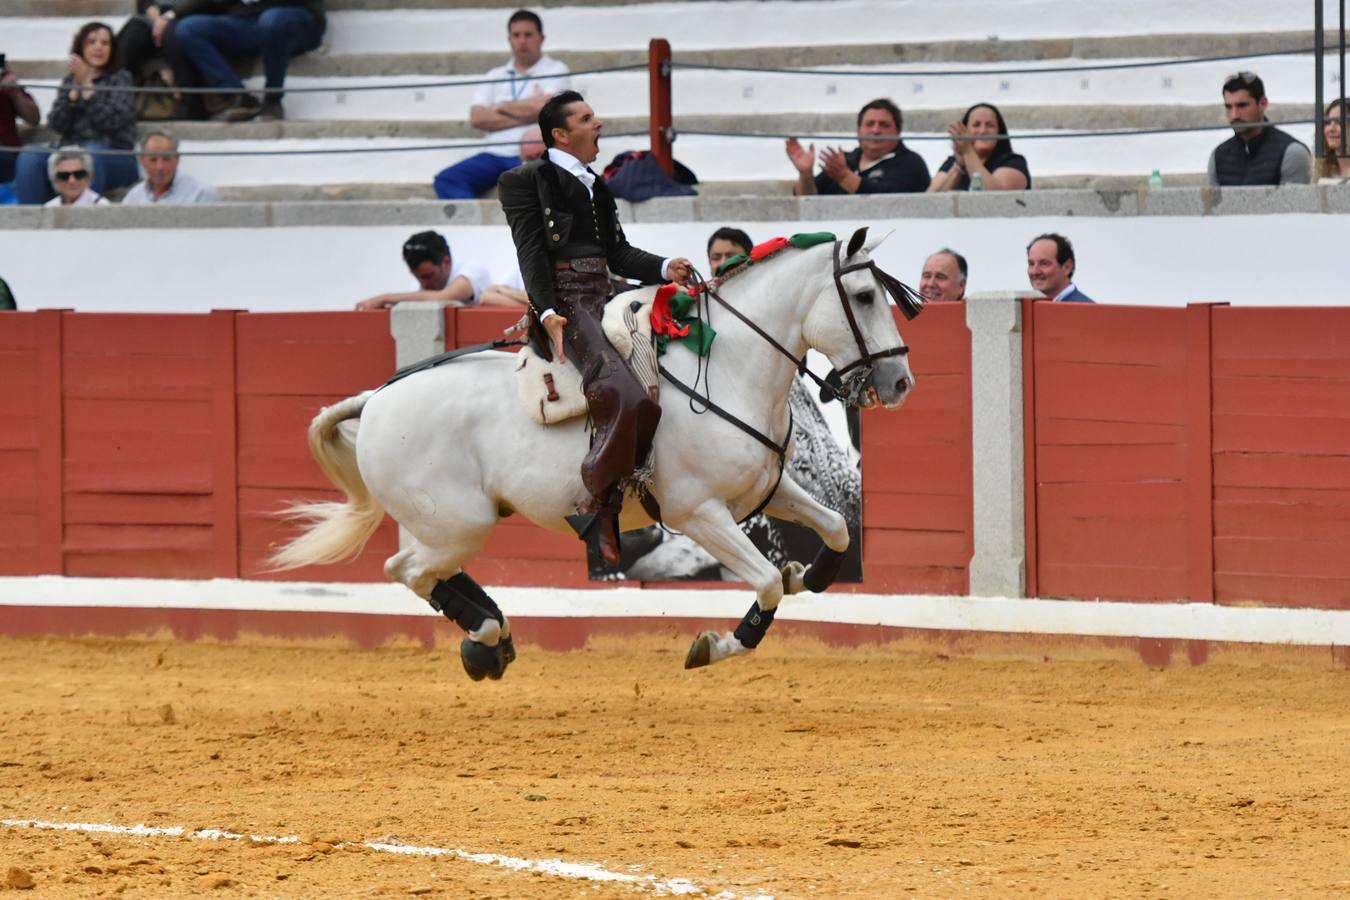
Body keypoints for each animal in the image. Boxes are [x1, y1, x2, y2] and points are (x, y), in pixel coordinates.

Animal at [271, 229, 918, 680]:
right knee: (403, 568)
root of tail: (378, 398)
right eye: (864, 295)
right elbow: (764, 585)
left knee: (421, 570)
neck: (727, 368)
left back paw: (494, 642)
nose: (900, 382)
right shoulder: (697, 512)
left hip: (451, 525)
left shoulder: (767, 487)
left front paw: (810, 574)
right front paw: (713, 645)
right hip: (459, 523)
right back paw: (488, 636)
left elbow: (835, 528)